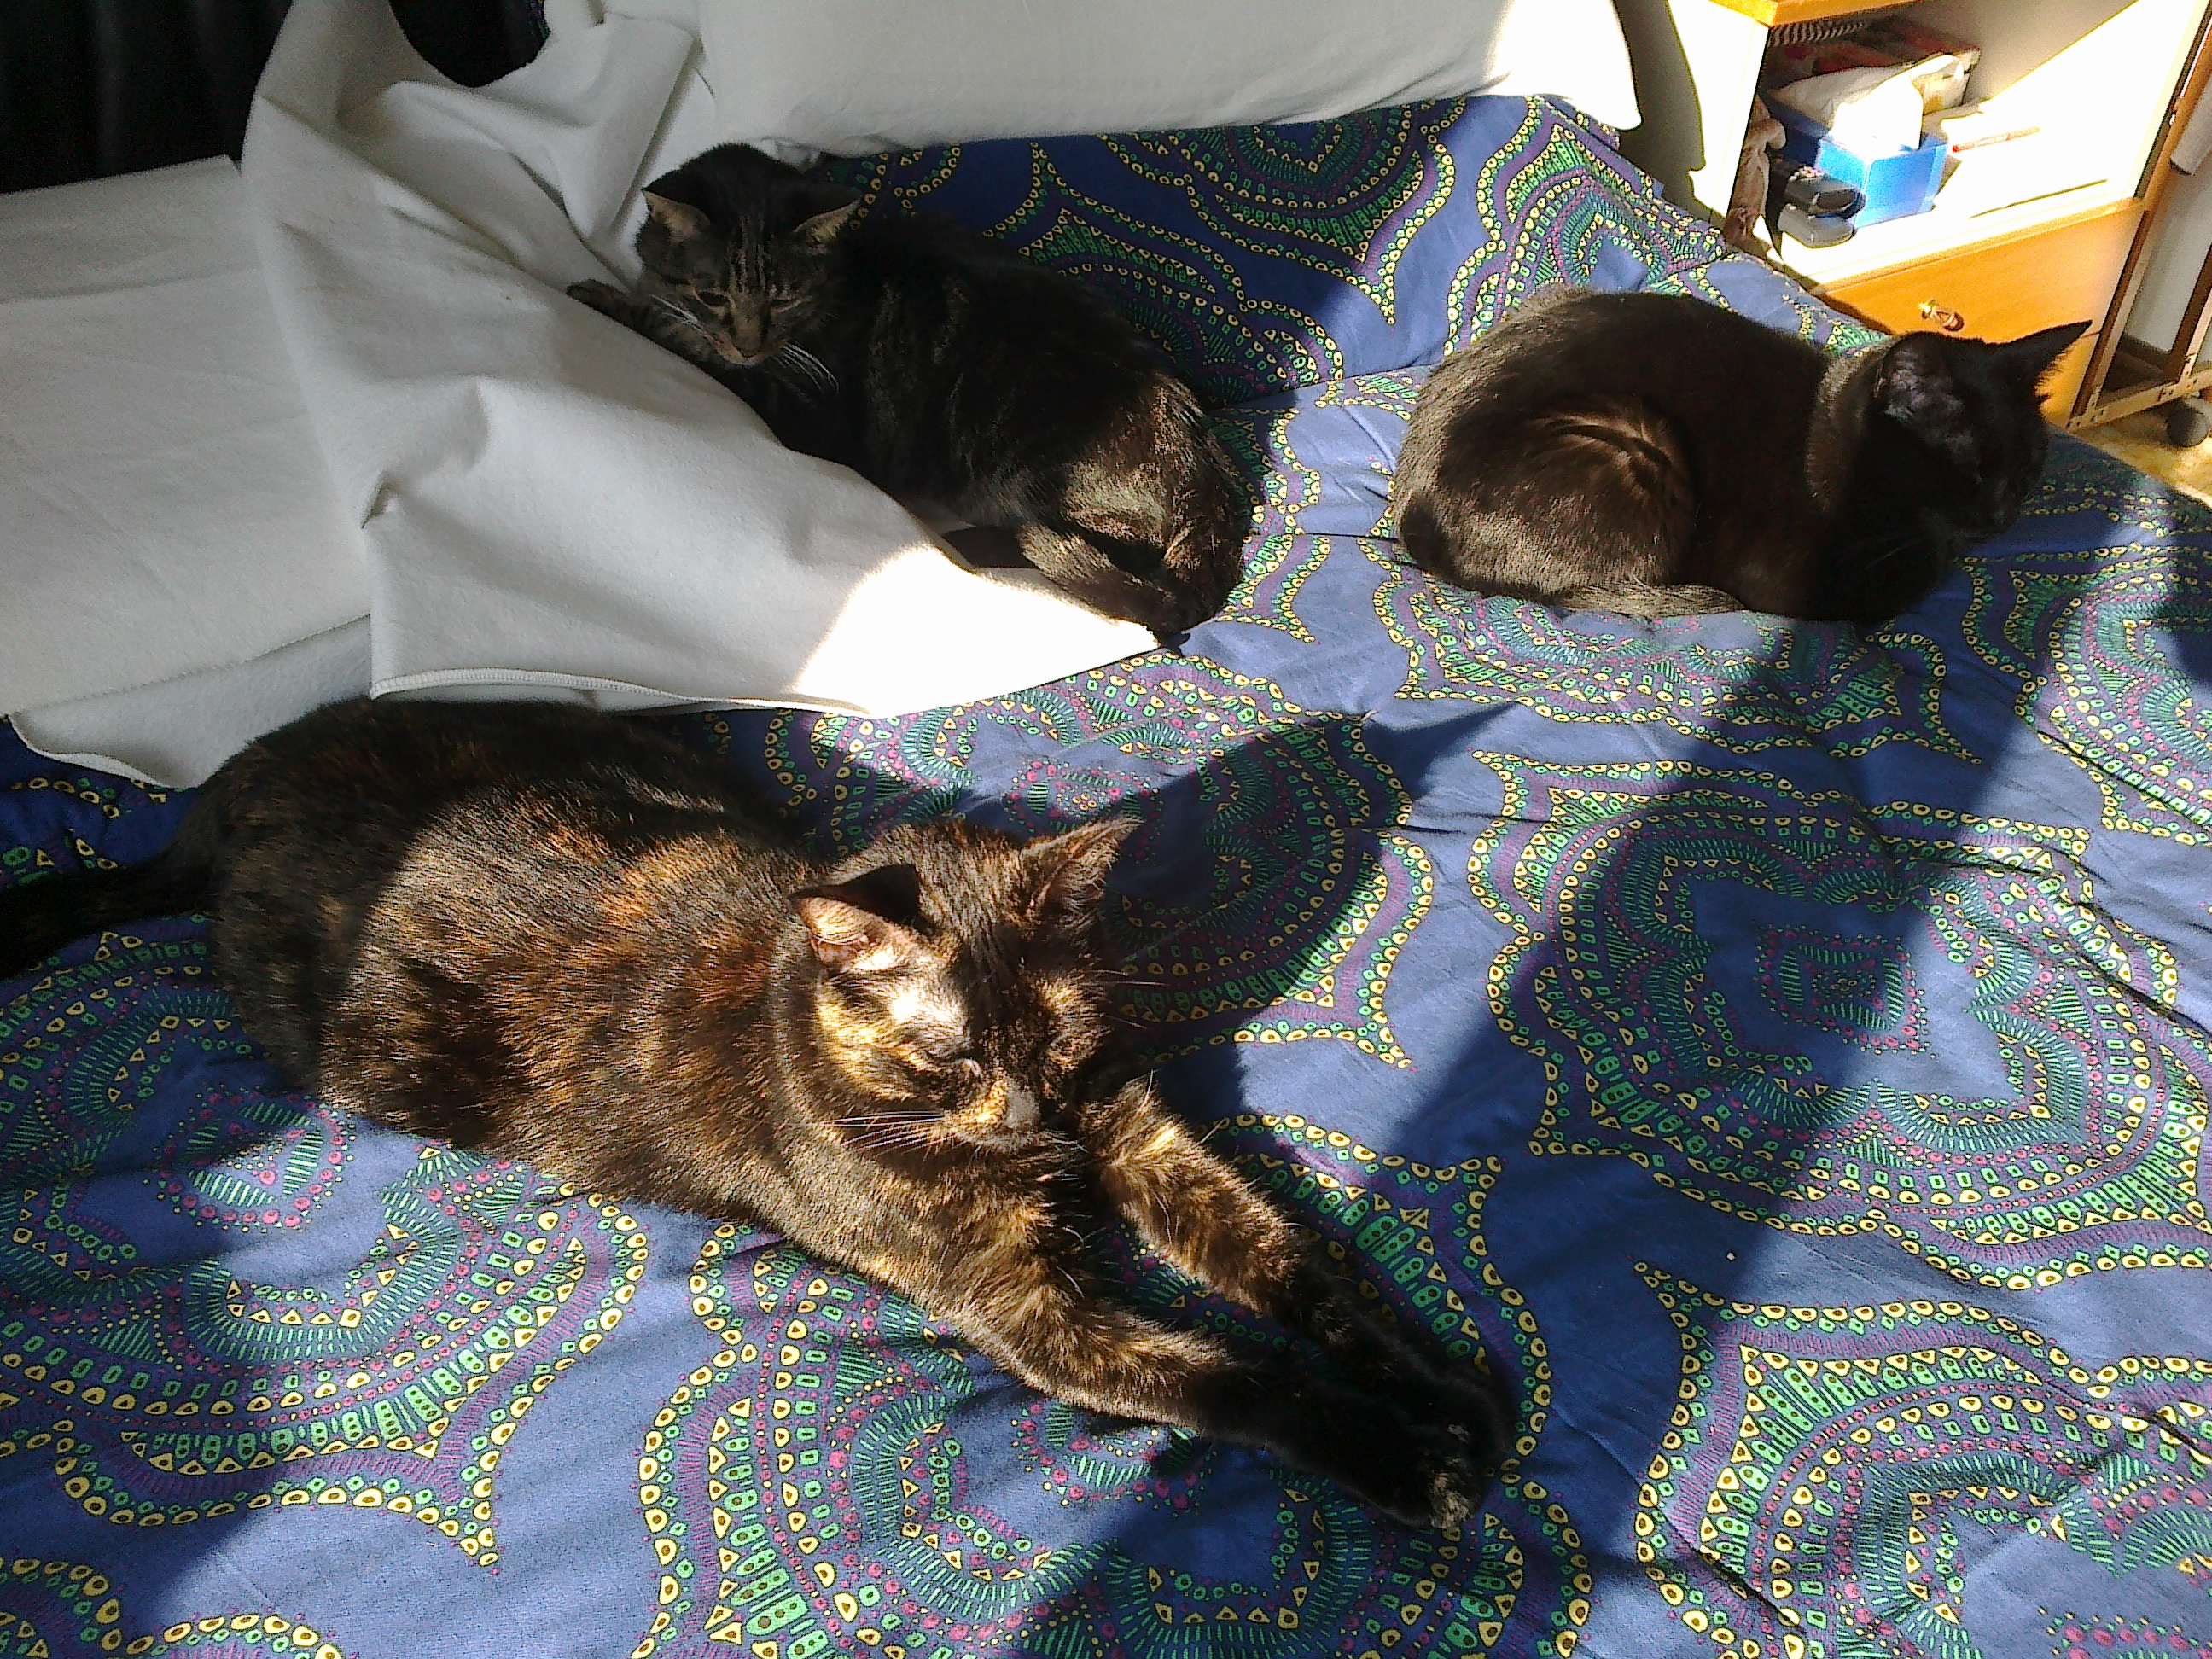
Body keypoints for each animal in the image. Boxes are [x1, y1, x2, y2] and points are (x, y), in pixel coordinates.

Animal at [0, 697, 1506, 1529]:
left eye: (1056, 1039)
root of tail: (226, 798)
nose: (1031, 1113)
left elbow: (1301, 1268)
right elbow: (1231, 1376)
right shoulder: (1032, 1312)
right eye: (952, 1055)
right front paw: (1405, 1459)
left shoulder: (1140, 1136)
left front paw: (1441, 1382)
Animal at [567, 143, 1250, 635]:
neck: (834, 286)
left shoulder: (807, 413)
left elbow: (687, 342)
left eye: (782, 299)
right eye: (712, 295)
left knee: (1090, 547)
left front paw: (604, 297)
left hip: (1029, 472)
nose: (749, 342)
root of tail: (1207, 465)